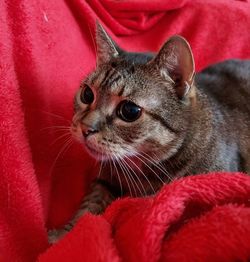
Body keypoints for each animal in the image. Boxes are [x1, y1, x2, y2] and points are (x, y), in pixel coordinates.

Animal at [47, 22, 250, 242]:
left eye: (129, 111)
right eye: (87, 94)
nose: (85, 128)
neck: (143, 171)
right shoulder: (104, 179)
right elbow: (88, 206)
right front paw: (64, 235)